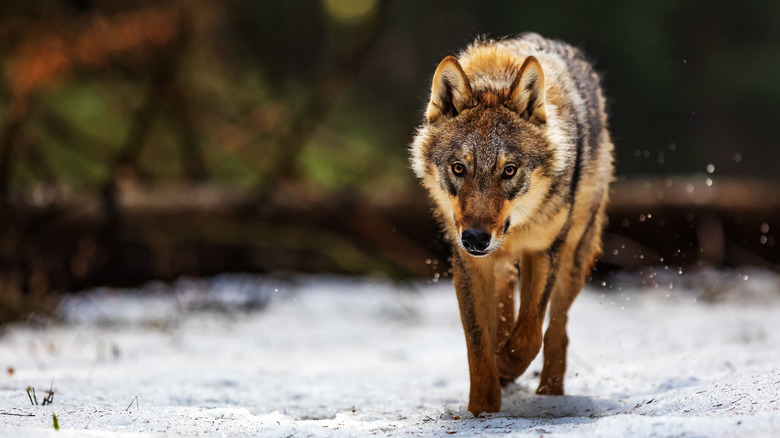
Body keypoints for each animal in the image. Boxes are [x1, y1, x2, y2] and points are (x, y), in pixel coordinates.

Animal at [412, 32, 612, 416]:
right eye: (459, 168)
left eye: (509, 170)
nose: (475, 239)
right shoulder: (468, 264)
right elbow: (478, 342)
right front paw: (483, 407)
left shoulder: (543, 250)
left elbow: (529, 334)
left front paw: (505, 363)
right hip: (500, 265)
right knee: (508, 307)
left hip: (573, 259)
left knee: (557, 329)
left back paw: (550, 390)